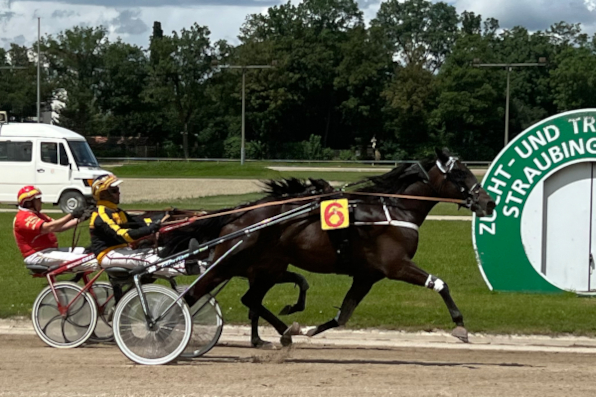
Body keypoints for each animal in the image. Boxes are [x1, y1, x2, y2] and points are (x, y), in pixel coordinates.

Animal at [162, 147, 494, 344]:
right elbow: (439, 284)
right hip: (232, 264)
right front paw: (460, 326)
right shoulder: (395, 265)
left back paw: (282, 332)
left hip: (265, 267)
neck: (394, 210)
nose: (489, 202)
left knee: (250, 300)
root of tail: (239, 215)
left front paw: (311, 329)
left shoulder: (367, 275)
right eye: (460, 173)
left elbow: (343, 314)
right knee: (192, 295)